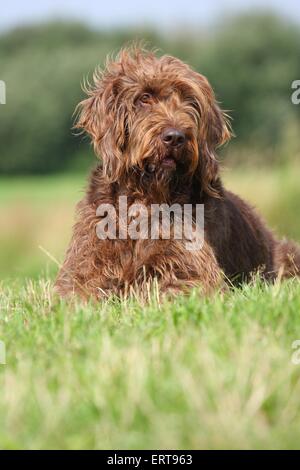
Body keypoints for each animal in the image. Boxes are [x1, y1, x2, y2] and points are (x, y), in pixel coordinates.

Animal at [55, 46, 298, 300]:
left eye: (190, 101)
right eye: (145, 98)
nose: (175, 137)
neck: (145, 197)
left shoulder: (190, 272)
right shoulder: (84, 267)